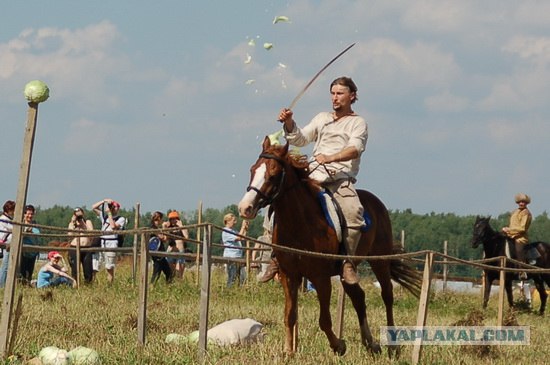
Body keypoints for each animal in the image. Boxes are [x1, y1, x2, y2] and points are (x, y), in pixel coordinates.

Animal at [237, 137, 422, 356]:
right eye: (252, 170)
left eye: (273, 175)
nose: (245, 208)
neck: (300, 223)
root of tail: (377, 204)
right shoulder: (288, 275)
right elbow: (290, 315)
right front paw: (289, 352)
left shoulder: (320, 277)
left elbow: (324, 320)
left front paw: (339, 345)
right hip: (347, 270)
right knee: (358, 297)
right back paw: (370, 343)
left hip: (380, 262)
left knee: (387, 296)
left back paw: (392, 346)